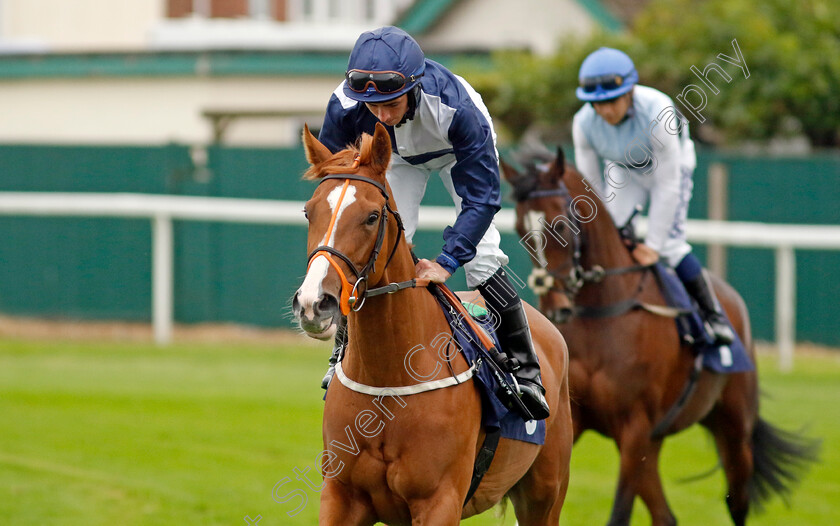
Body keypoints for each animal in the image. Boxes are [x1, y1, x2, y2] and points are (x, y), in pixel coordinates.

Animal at [292, 122, 576, 524]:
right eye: (309, 212)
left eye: (372, 216)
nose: (314, 303)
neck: (389, 381)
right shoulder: (341, 497)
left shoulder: (439, 501)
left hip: (545, 494)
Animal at [502, 150, 816, 526]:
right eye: (520, 229)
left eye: (560, 226)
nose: (555, 305)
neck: (604, 316)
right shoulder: (576, 422)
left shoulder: (635, 427)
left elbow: (619, 513)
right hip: (653, 444)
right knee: (666, 515)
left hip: (734, 428)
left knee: (738, 500)